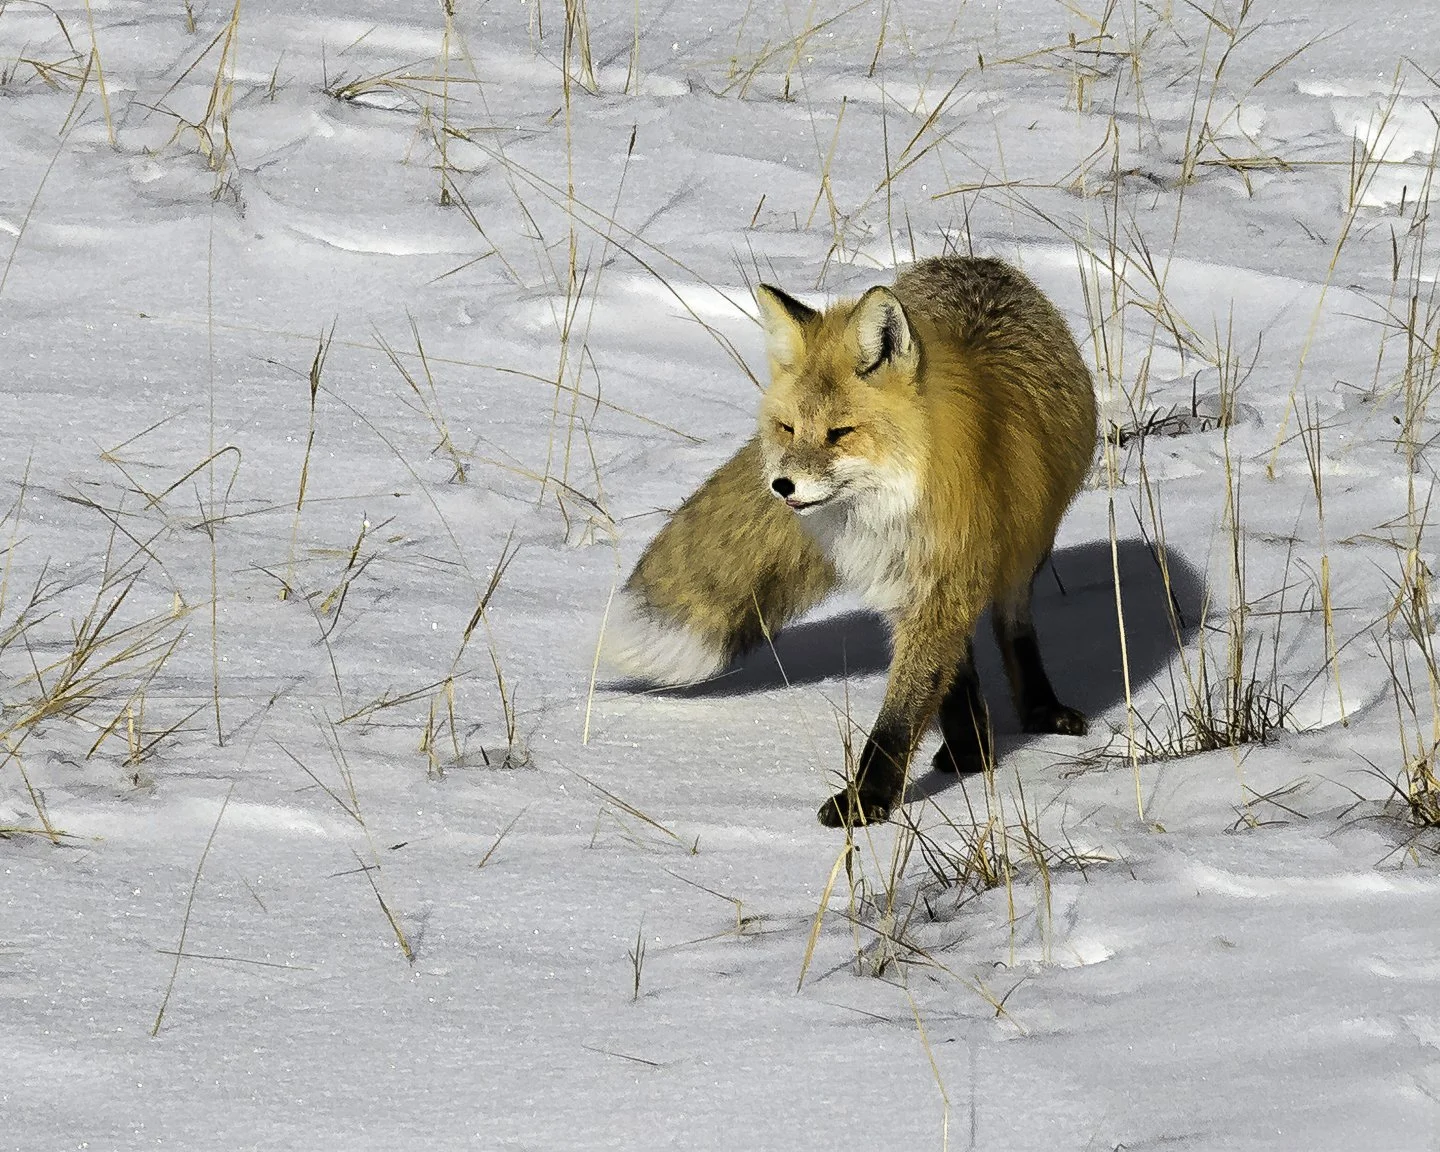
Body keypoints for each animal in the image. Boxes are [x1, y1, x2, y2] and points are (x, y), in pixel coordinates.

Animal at [603, 256, 1098, 828]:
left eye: (840, 433)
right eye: (788, 428)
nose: (781, 486)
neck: (890, 507)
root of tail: (976, 261)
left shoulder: (946, 581)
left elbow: (900, 715)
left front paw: (867, 801)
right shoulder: (908, 589)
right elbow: (935, 684)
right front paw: (955, 758)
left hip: (1024, 552)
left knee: (1013, 624)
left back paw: (1039, 710)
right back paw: (968, 748)